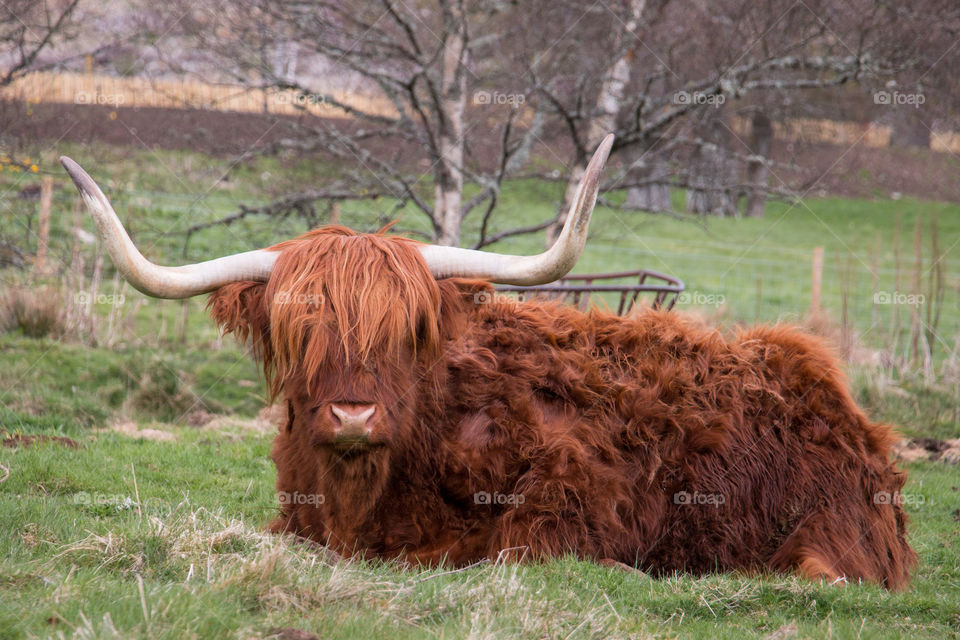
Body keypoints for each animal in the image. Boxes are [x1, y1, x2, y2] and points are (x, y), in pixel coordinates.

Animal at [60, 136, 916, 592]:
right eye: (299, 332)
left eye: (406, 329)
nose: (352, 412)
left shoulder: (564, 511)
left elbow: (472, 552)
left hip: (824, 535)